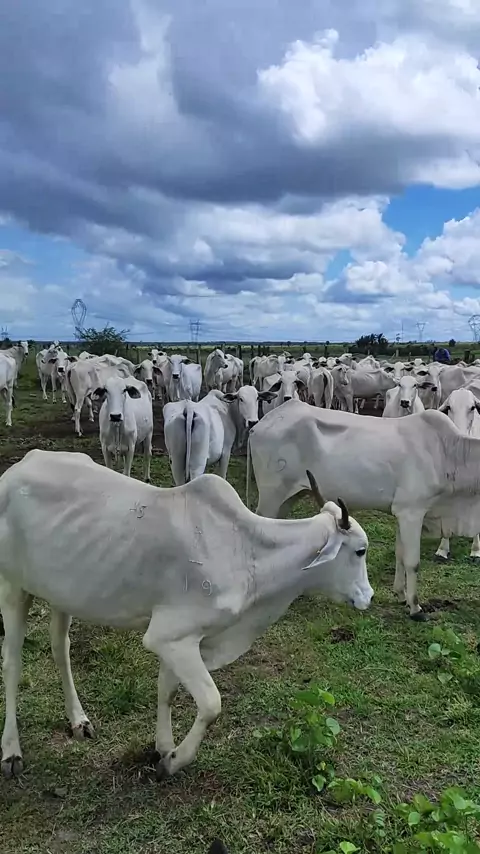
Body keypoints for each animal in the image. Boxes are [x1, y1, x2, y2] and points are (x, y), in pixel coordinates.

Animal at [0, 449, 373, 780]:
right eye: (360, 550)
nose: (368, 596)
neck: (246, 549)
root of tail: (17, 468)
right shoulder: (169, 636)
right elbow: (210, 704)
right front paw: (175, 761)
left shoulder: (181, 640)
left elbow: (167, 691)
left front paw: (163, 749)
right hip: (13, 588)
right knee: (12, 662)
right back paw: (11, 751)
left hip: (62, 594)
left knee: (60, 648)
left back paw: (78, 720)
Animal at [246, 399, 480, 619]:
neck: (448, 453)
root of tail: (260, 425)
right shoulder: (412, 512)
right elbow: (412, 562)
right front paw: (415, 608)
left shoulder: (401, 513)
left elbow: (400, 554)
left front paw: (400, 594)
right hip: (271, 496)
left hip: (288, 498)